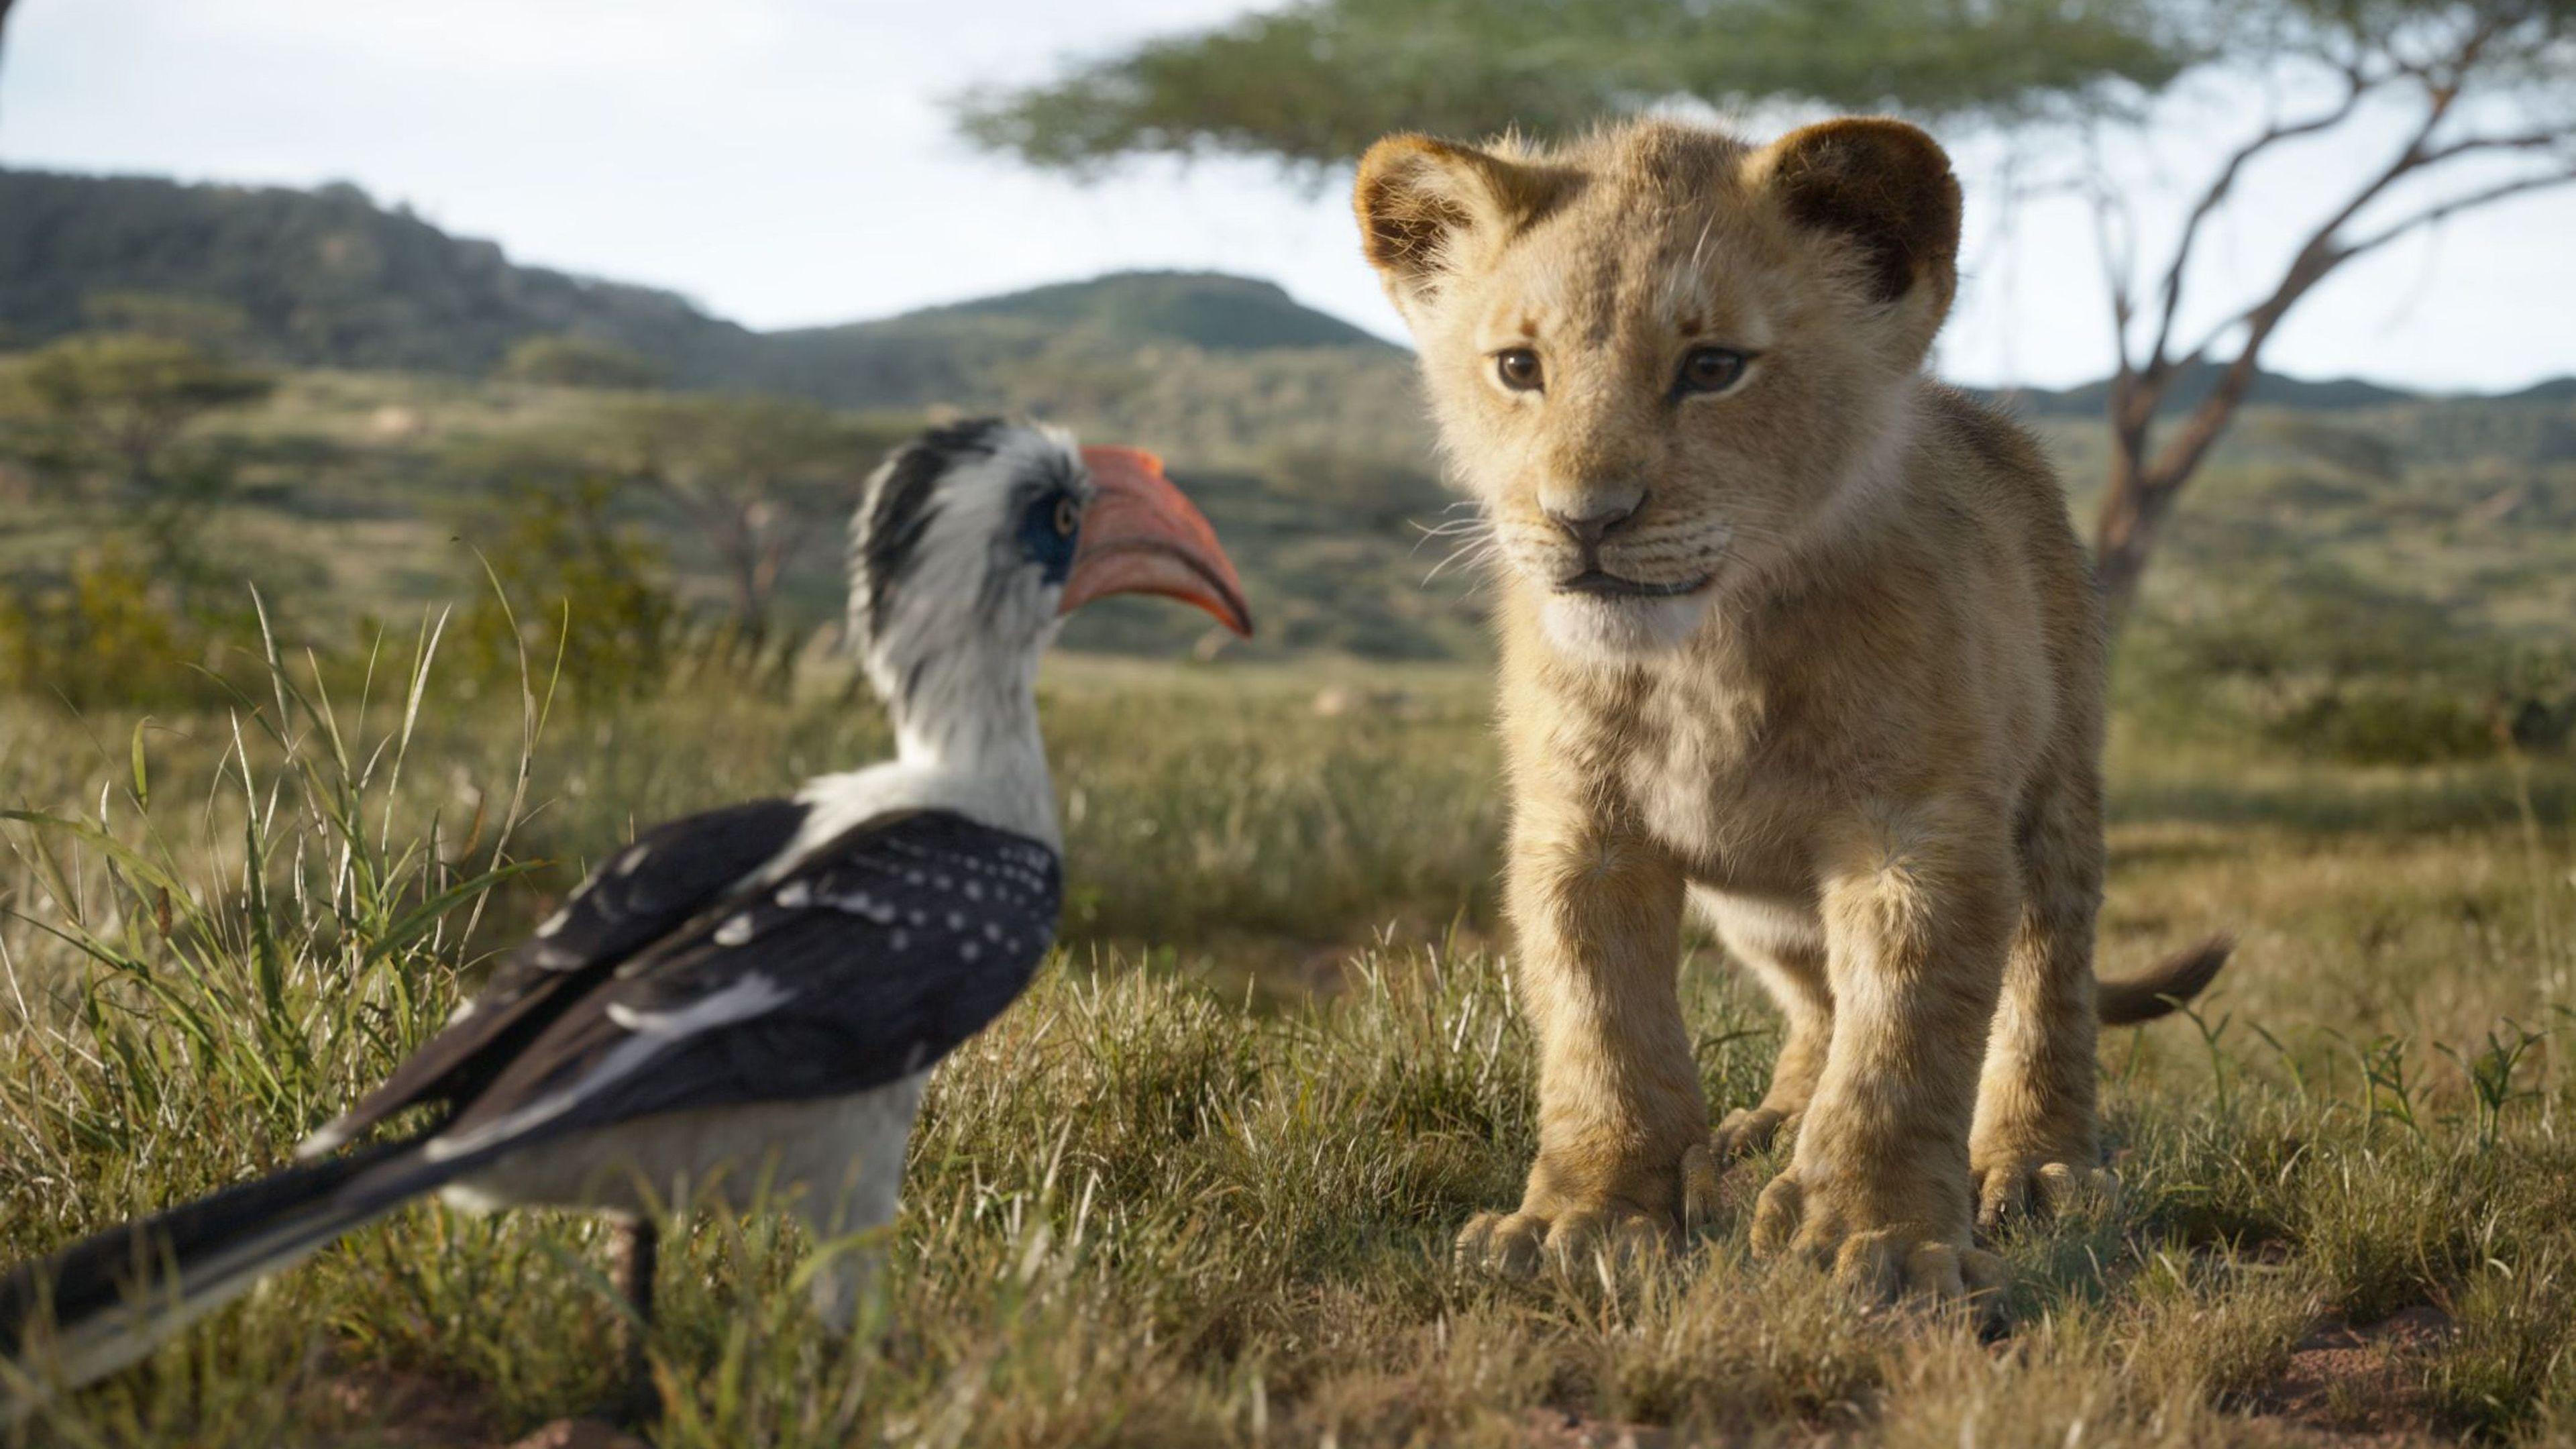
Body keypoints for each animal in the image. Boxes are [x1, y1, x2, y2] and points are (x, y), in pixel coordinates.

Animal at [1351, 115, 2227, 1303]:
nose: (1585, 520)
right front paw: (1585, 1217)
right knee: (1817, 1003)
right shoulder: (1580, 832)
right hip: (1759, 908)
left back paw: (2036, 1164)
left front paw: (1880, 1236)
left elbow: (1904, 1040)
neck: (1705, 658)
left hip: (2056, 796)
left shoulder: (1918, 832)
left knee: (2048, 978)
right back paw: (1762, 1130)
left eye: (1713, 367)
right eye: (1519, 368)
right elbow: (1600, 1028)